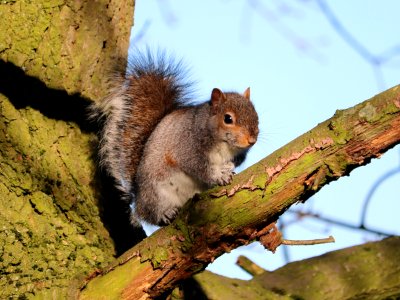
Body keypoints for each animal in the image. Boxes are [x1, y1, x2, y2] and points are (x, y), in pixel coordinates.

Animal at [90, 51, 260, 225]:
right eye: (228, 119)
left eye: (255, 114)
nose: (252, 140)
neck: (225, 144)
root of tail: (137, 198)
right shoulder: (187, 147)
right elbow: (200, 167)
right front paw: (218, 175)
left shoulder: (239, 155)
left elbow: (234, 162)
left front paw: (228, 168)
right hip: (155, 193)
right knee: (152, 214)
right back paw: (165, 213)